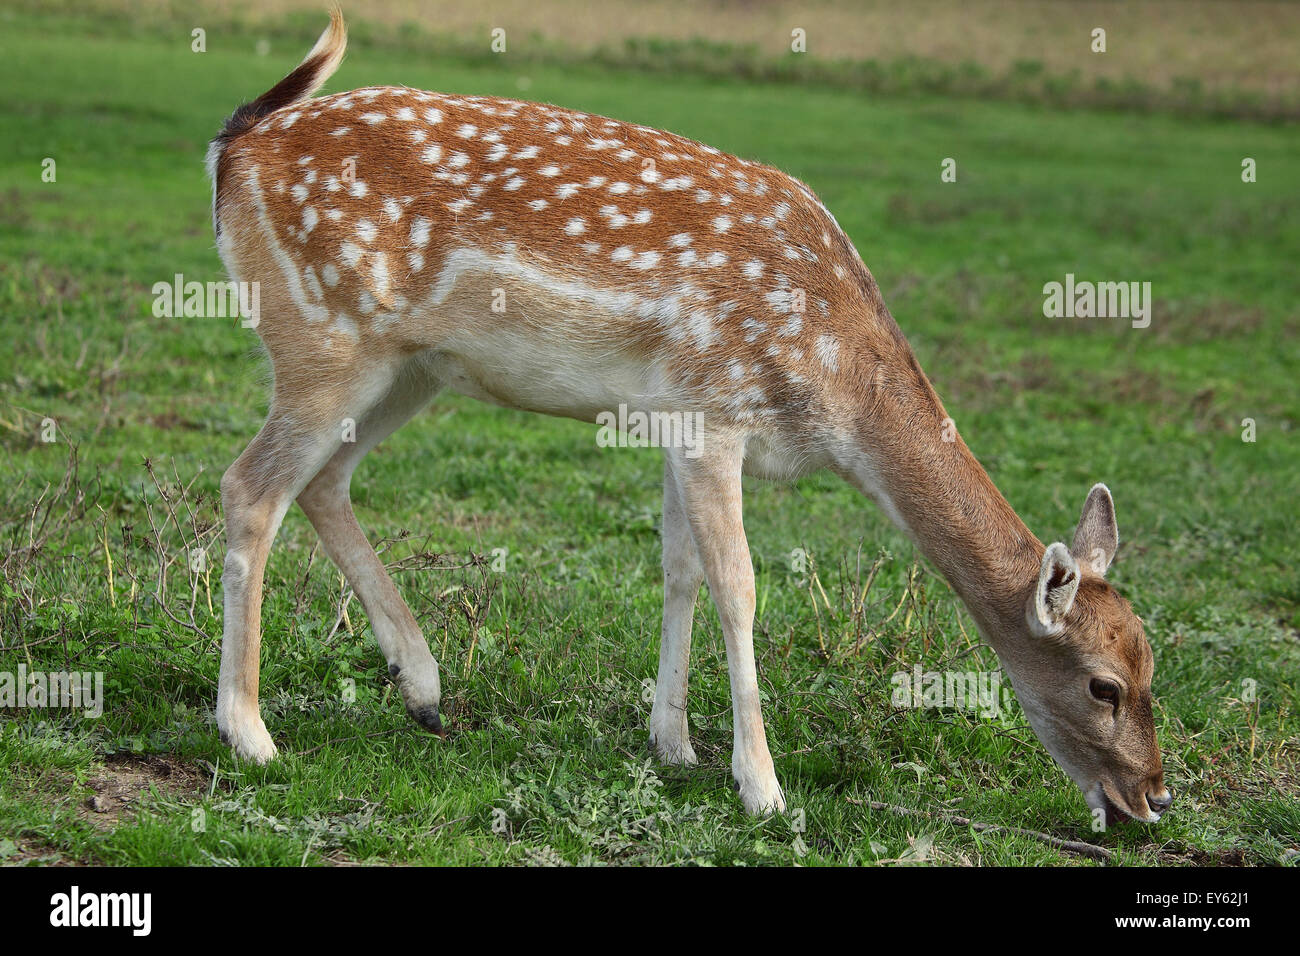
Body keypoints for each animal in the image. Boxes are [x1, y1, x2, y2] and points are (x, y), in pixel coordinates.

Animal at [207, 9, 1172, 825]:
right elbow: (738, 584)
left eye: (1149, 661)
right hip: (322, 338)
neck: (833, 388)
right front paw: (762, 788)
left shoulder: (673, 421)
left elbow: (678, 570)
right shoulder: (717, 411)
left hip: (409, 369)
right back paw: (250, 734)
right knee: (250, 485)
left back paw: (424, 687)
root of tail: (233, 146)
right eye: (1102, 685)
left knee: (323, 481)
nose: (1155, 797)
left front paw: (671, 743)